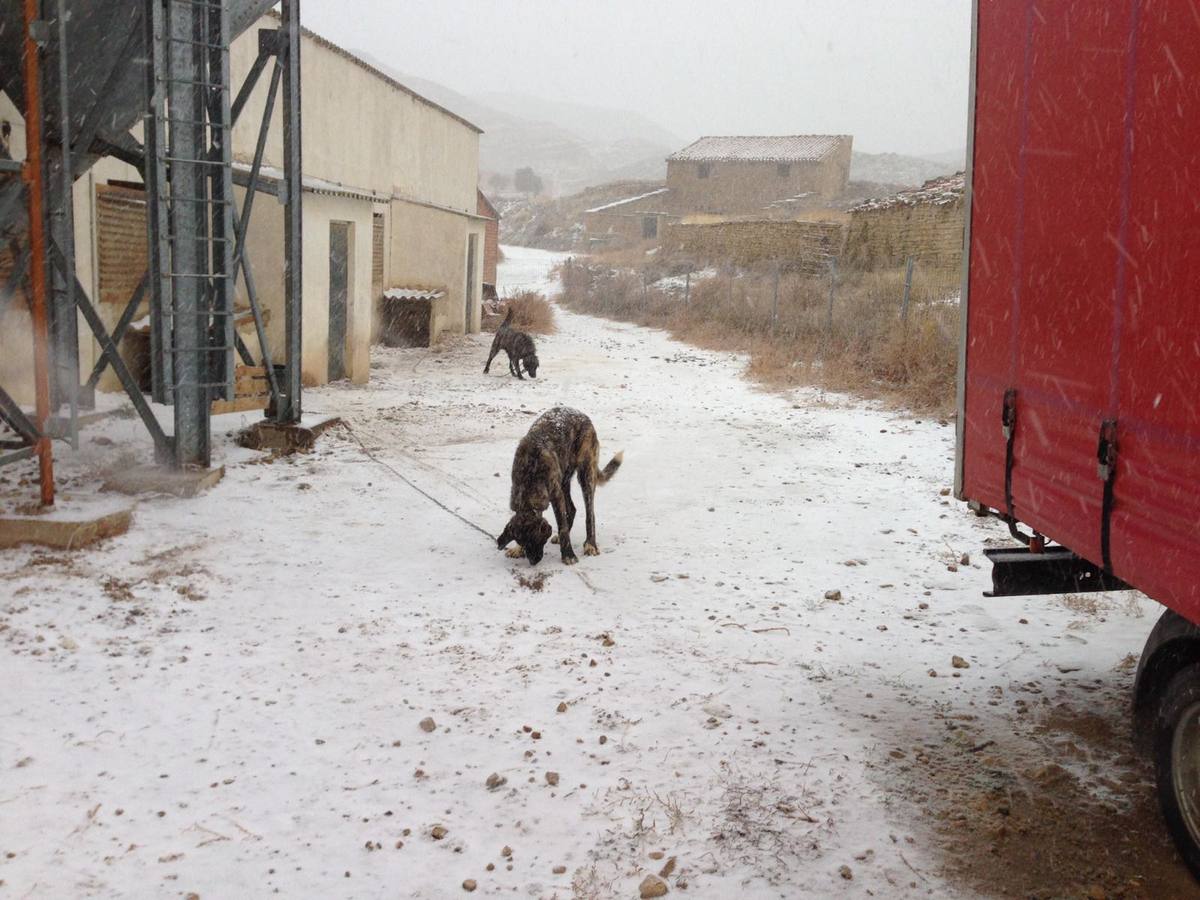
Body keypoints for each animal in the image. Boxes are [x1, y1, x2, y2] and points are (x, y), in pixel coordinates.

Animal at [499, 408, 624, 564]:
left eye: (536, 540)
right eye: (522, 542)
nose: (534, 562)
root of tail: (583, 415)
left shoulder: (556, 496)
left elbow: (562, 526)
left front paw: (568, 555)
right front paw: (518, 550)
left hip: (586, 475)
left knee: (590, 514)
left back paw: (590, 544)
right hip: (564, 480)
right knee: (572, 509)